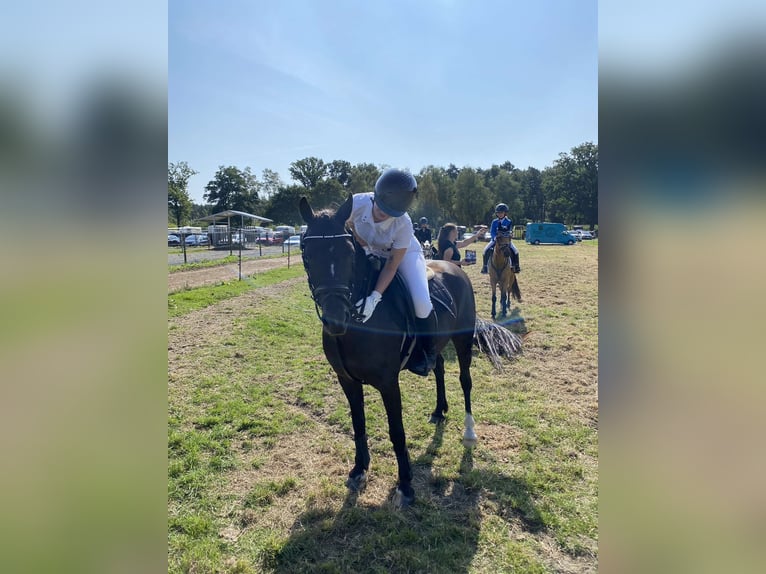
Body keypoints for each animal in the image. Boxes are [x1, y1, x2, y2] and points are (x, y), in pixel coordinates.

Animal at [300, 197, 520, 508]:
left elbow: (397, 432)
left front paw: (405, 485)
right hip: (437, 344)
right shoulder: (347, 381)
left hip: (463, 341)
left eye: (348, 254)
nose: (335, 320)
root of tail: (454, 267)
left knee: (465, 381)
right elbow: (358, 424)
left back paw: (469, 432)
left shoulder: (388, 383)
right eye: (307, 253)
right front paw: (359, 470)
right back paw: (439, 410)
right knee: (438, 367)